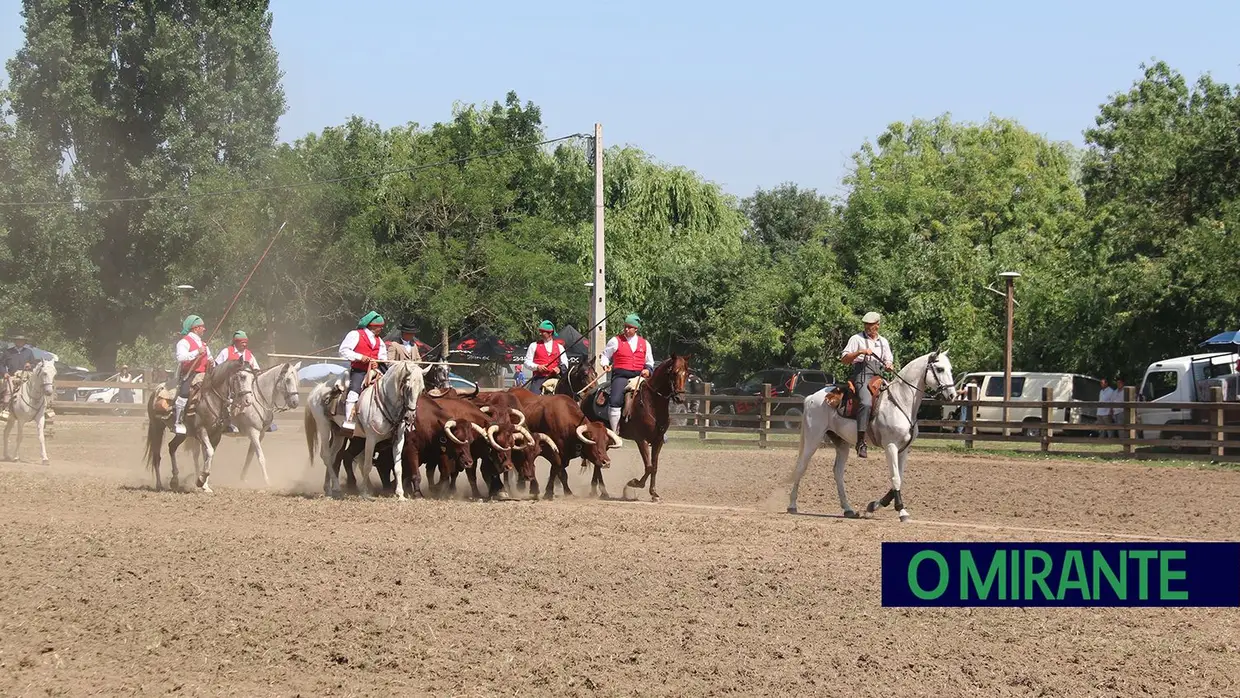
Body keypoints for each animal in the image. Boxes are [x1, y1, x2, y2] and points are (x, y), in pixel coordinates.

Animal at [303, 359, 426, 503]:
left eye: (422, 389)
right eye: (408, 387)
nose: (410, 417)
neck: (385, 401)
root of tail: (317, 389)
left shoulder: (398, 440)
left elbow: (398, 467)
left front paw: (400, 494)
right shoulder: (371, 439)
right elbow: (367, 465)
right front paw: (364, 493)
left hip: (338, 433)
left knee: (333, 456)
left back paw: (329, 489)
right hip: (324, 426)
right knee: (326, 455)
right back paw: (337, 487)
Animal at [580, 354, 689, 503]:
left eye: (687, 373)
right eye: (673, 373)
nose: (680, 397)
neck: (651, 403)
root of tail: (586, 396)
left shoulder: (658, 441)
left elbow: (654, 467)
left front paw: (654, 493)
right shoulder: (641, 440)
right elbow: (648, 467)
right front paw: (633, 484)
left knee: (598, 461)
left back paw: (598, 491)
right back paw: (600, 491)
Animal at [788, 352, 952, 520]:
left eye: (950, 369)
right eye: (940, 369)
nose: (952, 395)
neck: (900, 402)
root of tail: (811, 398)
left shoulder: (904, 449)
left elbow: (899, 478)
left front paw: (874, 506)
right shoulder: (890, 446)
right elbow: (895, 478)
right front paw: (901, 511)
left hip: (841, 443)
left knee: (838, 472)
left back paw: (848, 509)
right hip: (813, 438)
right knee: (801, 466)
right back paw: (792, 505)